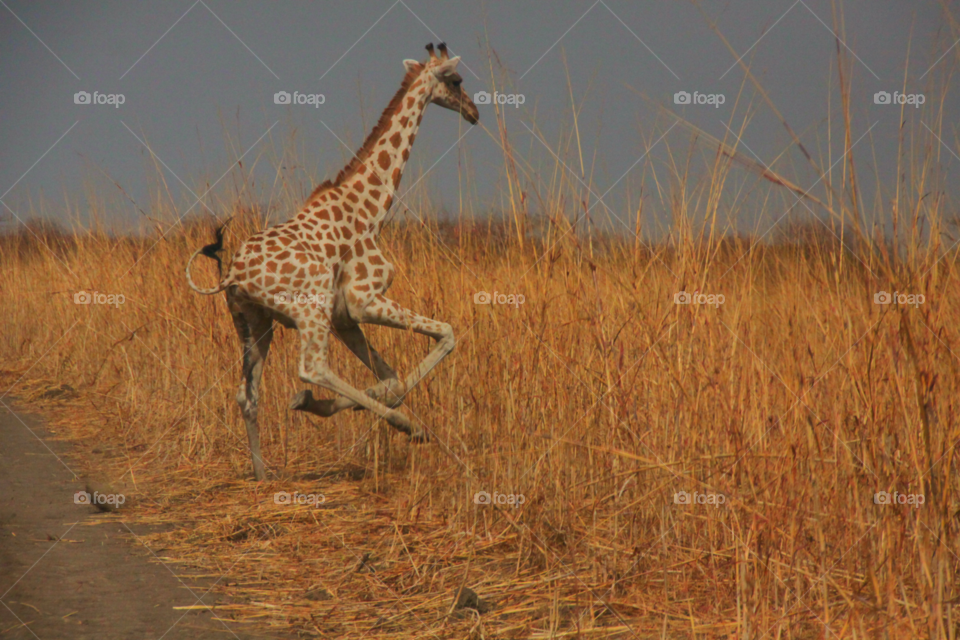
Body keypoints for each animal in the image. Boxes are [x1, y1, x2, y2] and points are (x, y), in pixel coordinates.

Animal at [186, 42, 478, 480]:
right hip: (309, 309)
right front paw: (410, 427)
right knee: (313, 368)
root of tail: (233, 275)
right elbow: (446, 334)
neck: (370, 210)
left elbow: (392, 380)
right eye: (456, 80)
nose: (474, 112)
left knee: (246, 395)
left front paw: (377, 401)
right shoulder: (363, 301)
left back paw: (263, 474)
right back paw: (319, 406)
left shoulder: (344, 318)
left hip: (253, 322)